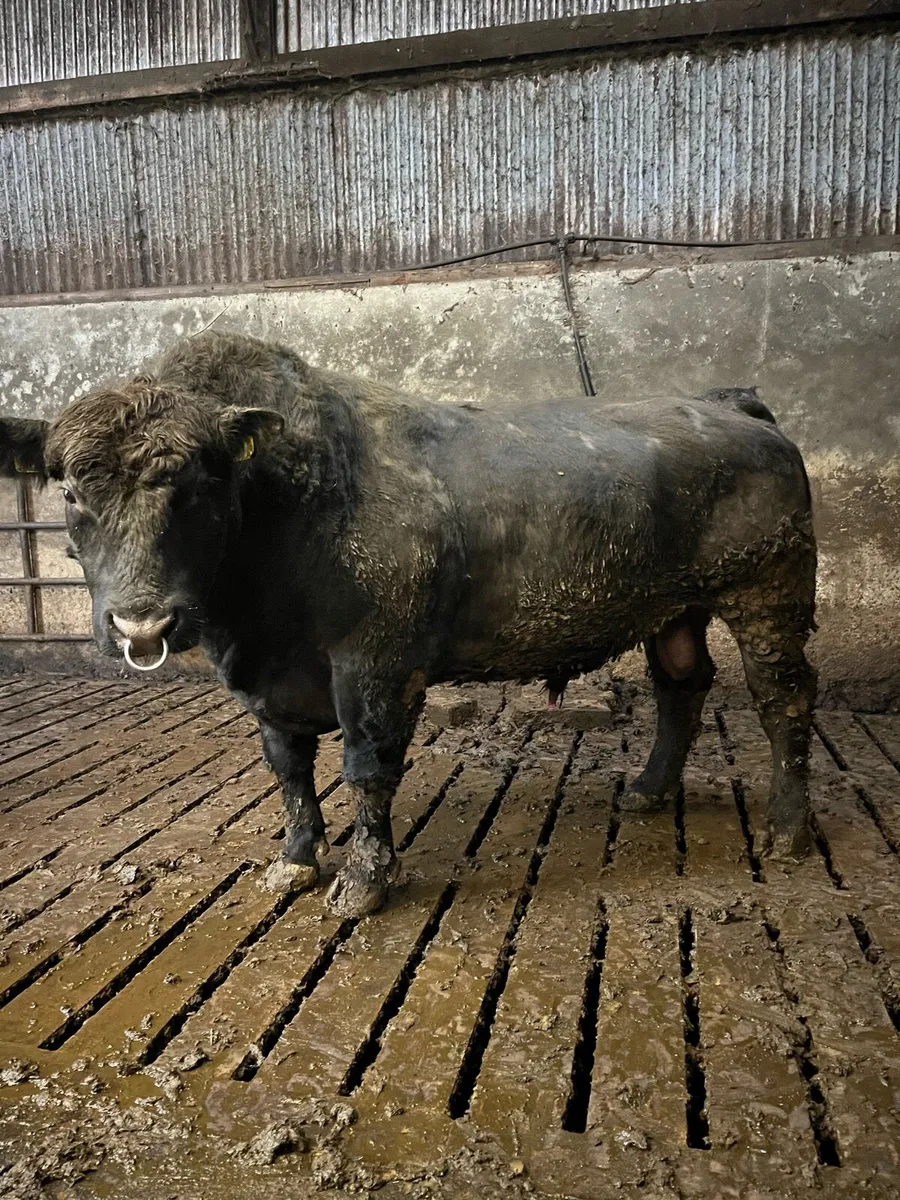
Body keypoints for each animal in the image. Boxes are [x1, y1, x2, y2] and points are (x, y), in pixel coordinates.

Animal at [0, 332, 817, 919]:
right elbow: (288, 768)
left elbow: (367, 768)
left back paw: (789, 829)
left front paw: (363, 882)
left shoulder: (377, 665)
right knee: (682, 682)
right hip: (677, 610)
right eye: (69, 491)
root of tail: (728, 404)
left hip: (769, 595)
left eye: (200, 485)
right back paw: (649, 788)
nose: (141, 622)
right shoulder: (270, 684)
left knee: (784, 700)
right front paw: (295, 860)